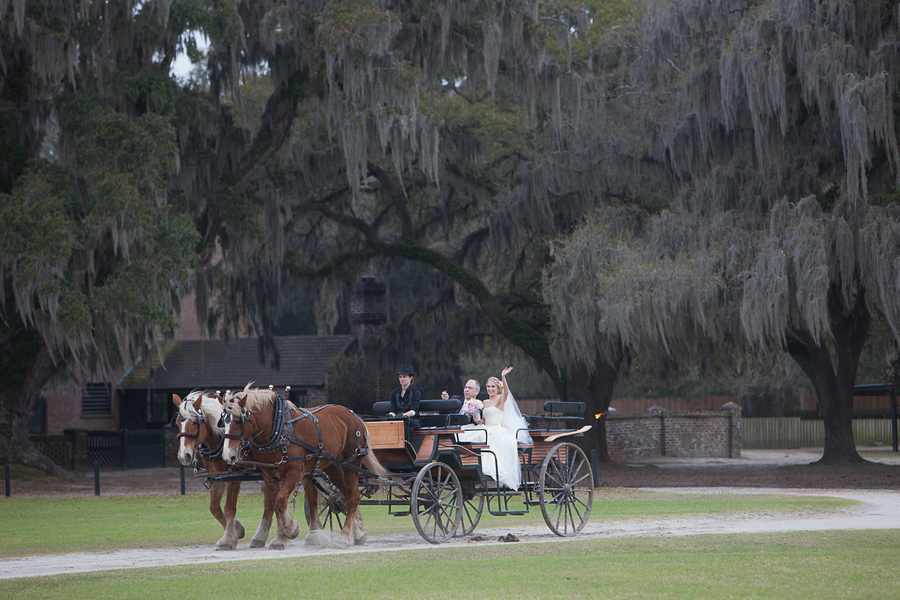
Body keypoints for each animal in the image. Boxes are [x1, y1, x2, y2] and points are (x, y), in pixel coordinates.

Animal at [171, 392, 278, 552]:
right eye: (178, 423)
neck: (220, 441)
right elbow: (214, 508)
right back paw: (261, 537)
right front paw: (237, 530)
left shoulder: (233, 478)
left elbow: (229, 508)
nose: (184, 456)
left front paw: (228, 539)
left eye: (195, 422)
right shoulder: (216, 478)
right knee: (270, 501)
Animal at [221, 384, 386, 548]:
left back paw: (344, 536)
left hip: (350, 465)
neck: (278, 430)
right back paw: (357, 533)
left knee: (352, 497)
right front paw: (281, 537)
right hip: (333, 467)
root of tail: (355, 416)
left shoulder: (294, 473)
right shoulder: (270, 475)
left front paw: (291, 530)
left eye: (238, 421)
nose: (229, 456)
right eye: (223, 422)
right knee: (346, 496)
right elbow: (275, 505)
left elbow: (280, 501)